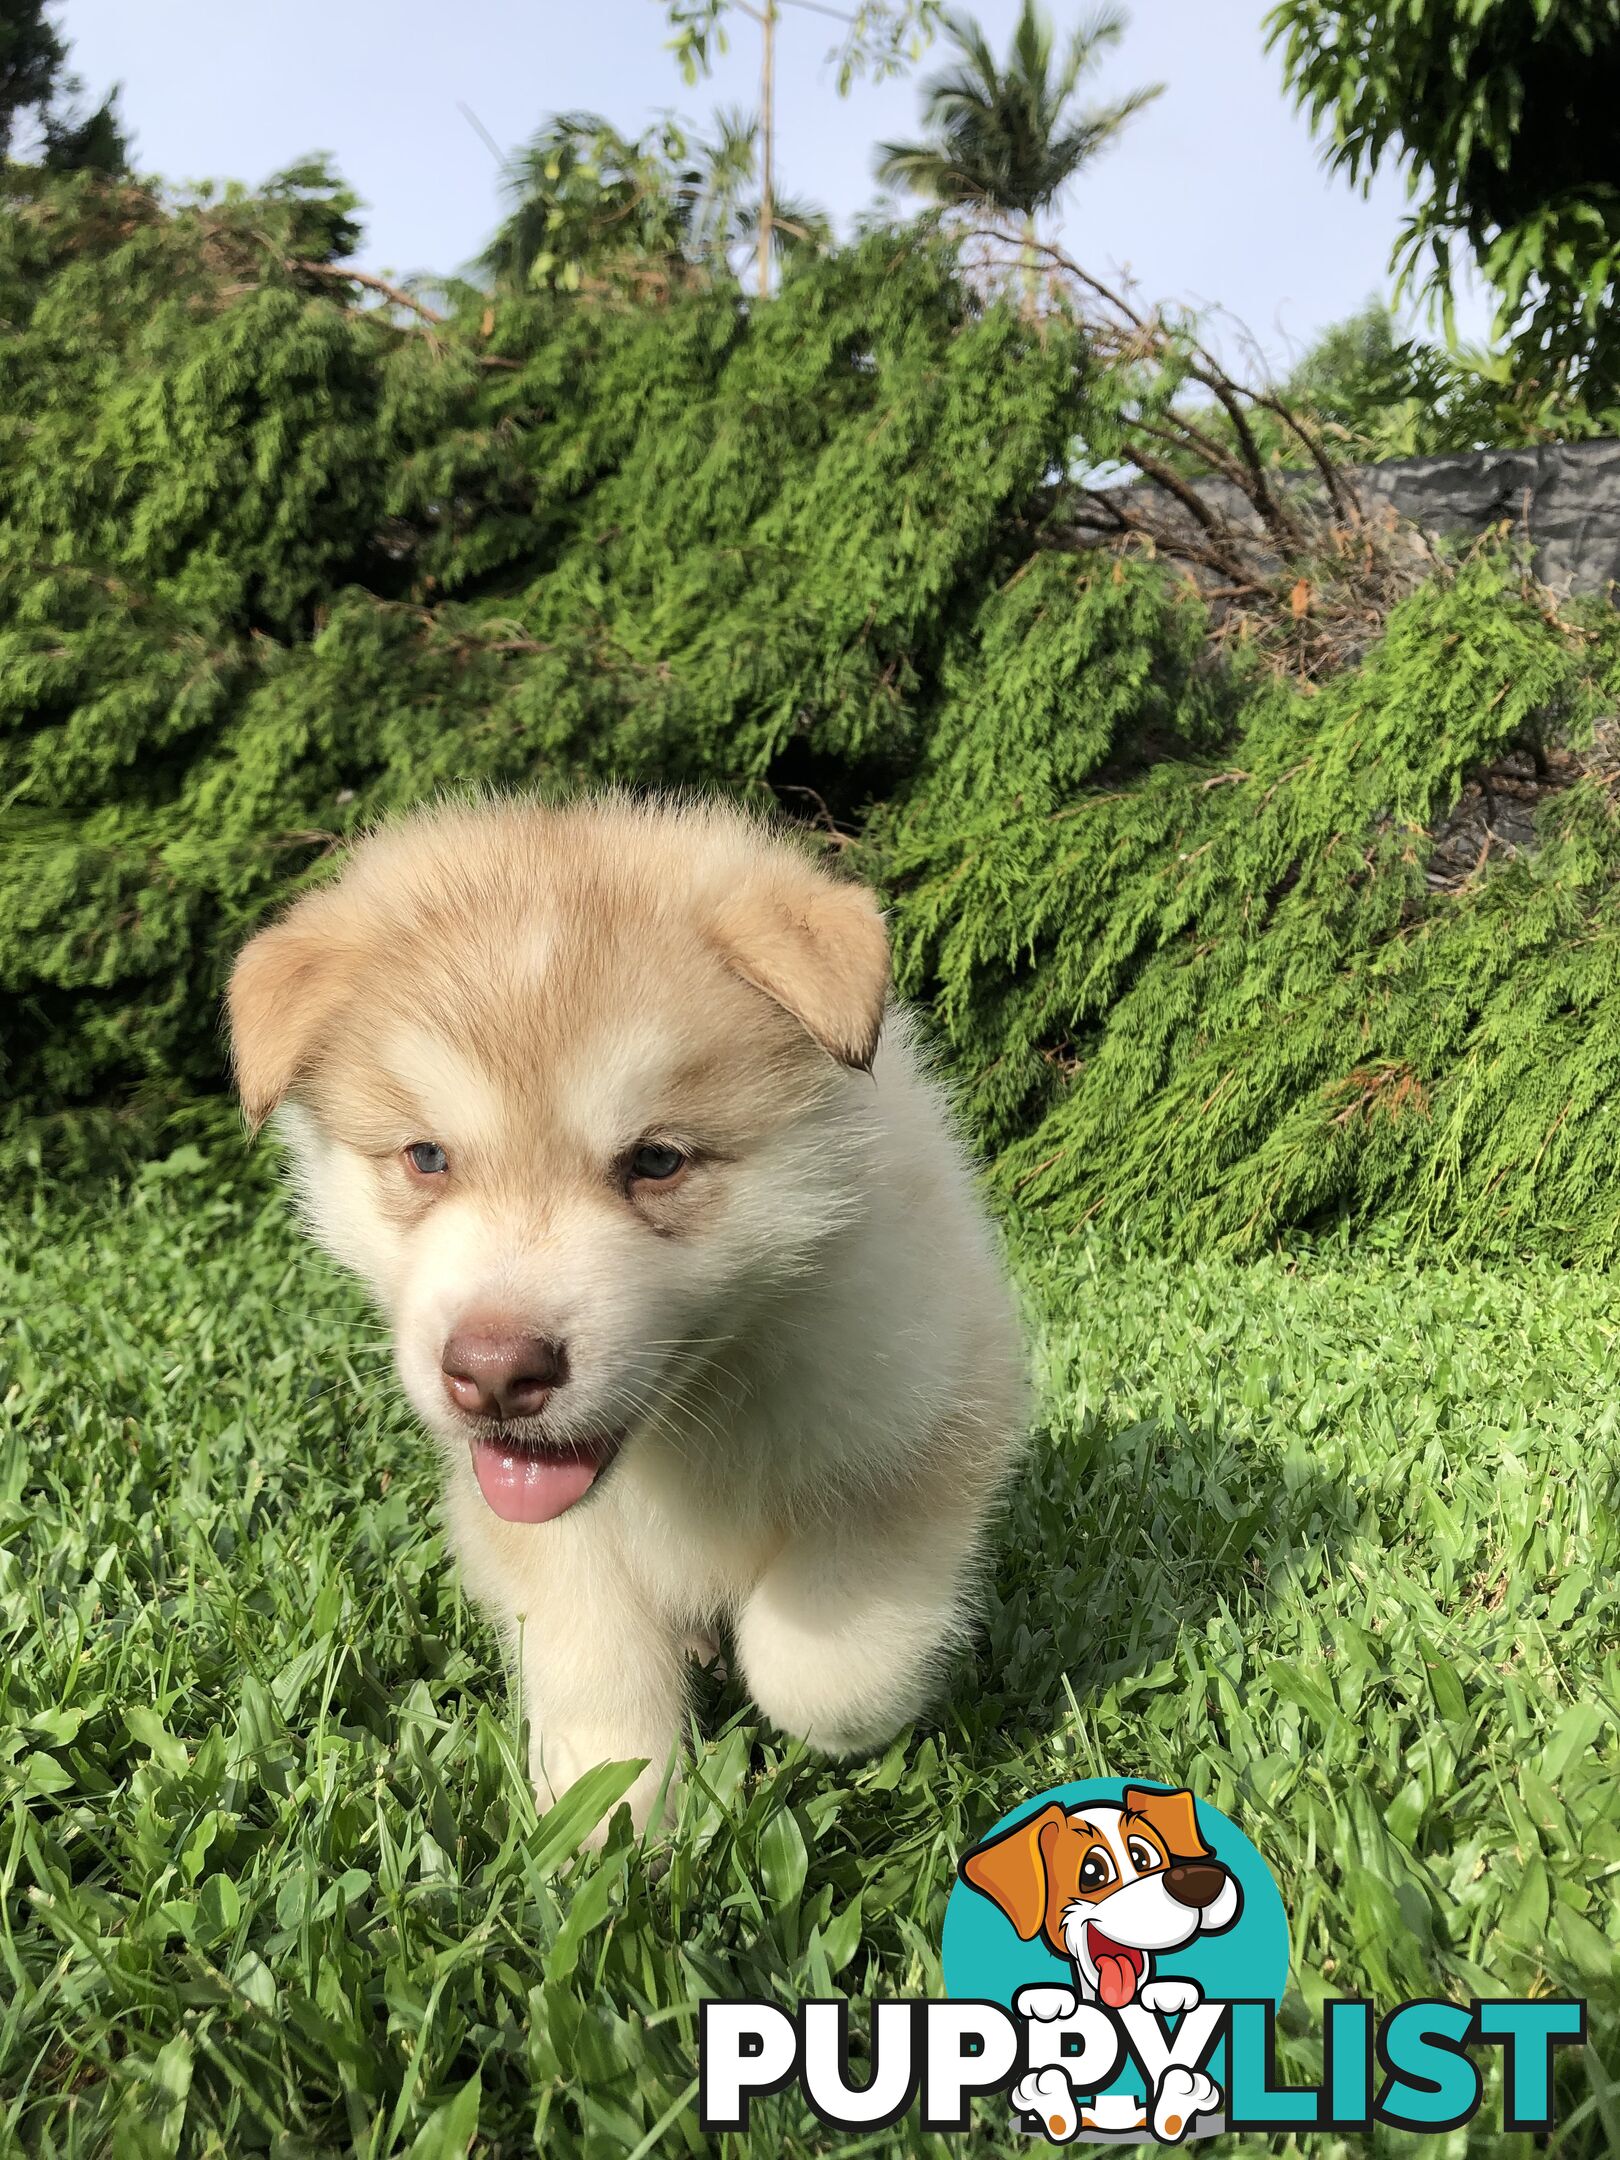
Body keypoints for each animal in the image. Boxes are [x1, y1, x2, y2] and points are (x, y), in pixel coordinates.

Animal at [228, 803, 1028, 1831]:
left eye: (656, 1161)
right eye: (426, 1157)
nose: (494, 1373)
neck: (693, 1415)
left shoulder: (927, 1405)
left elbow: (828, 1649)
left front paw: (833, 1716)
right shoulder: (535, 1526)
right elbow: (593, 1658)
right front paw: (609, 1812)